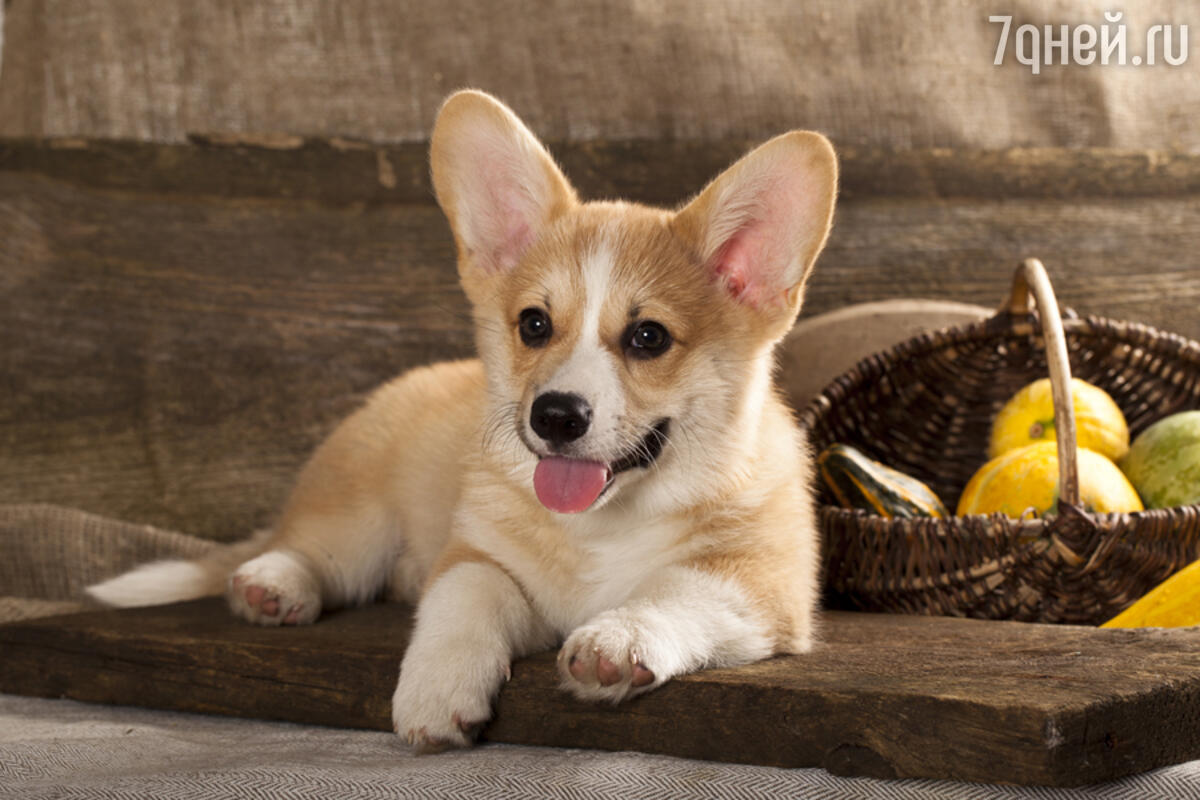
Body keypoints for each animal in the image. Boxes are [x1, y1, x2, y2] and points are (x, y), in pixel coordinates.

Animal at [88, 90, 840, 753]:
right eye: (533, 324)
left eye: (648, 337)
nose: (556, 415)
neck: (601, 526)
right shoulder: (475, 553)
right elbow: (465, 596)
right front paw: (436, 691)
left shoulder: (761, 586)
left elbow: (674, 589)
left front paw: (615, 640)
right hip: (359, 522)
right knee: (311, 550)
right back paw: (270, 585)